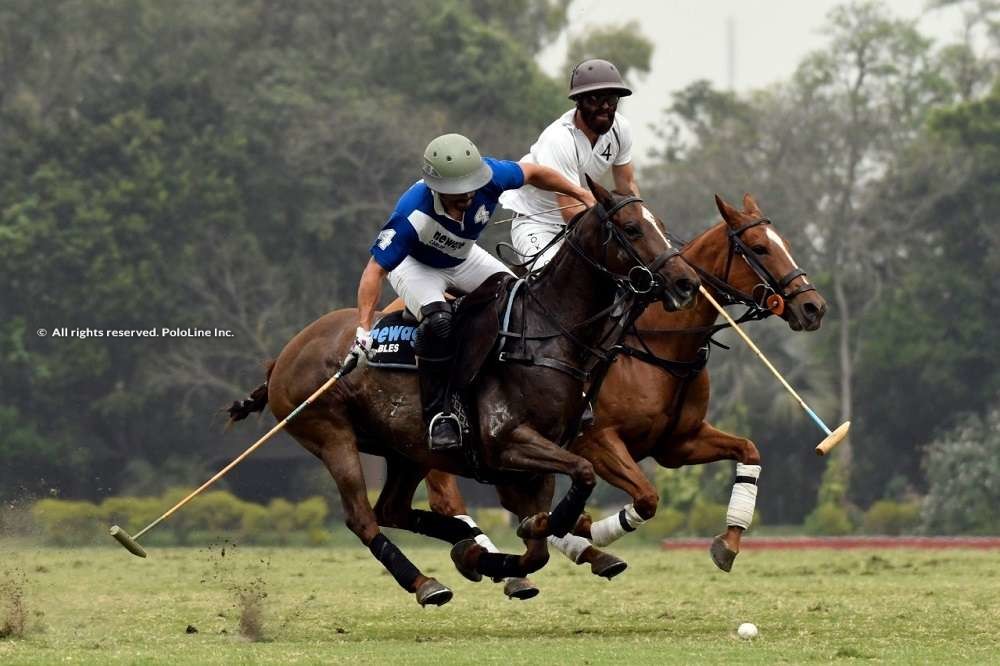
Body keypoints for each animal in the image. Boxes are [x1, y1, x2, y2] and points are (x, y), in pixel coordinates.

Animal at [228, 179, 700, 604]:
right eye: (632, 229)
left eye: (660, 224)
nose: (687, 284)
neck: (547, 333)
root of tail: (281, 359)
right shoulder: (509, 442)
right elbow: (580, 477)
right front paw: (547, 534)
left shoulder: (534, 463)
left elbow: (537, 548)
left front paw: (499, 554)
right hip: (331, 436)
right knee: (363, 518)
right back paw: (425, 581)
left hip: (406, 448)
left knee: (391, 510)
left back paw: (464, 541)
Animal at [426, 192, 824, 572]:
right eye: (759, 247)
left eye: (786, 243)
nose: (814, 307)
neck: (656, 344)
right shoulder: (598, 440)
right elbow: (646, 498)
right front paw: (587, 527)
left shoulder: (679, 443)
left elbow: (748, 450)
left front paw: (728, 544)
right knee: (447, 496)